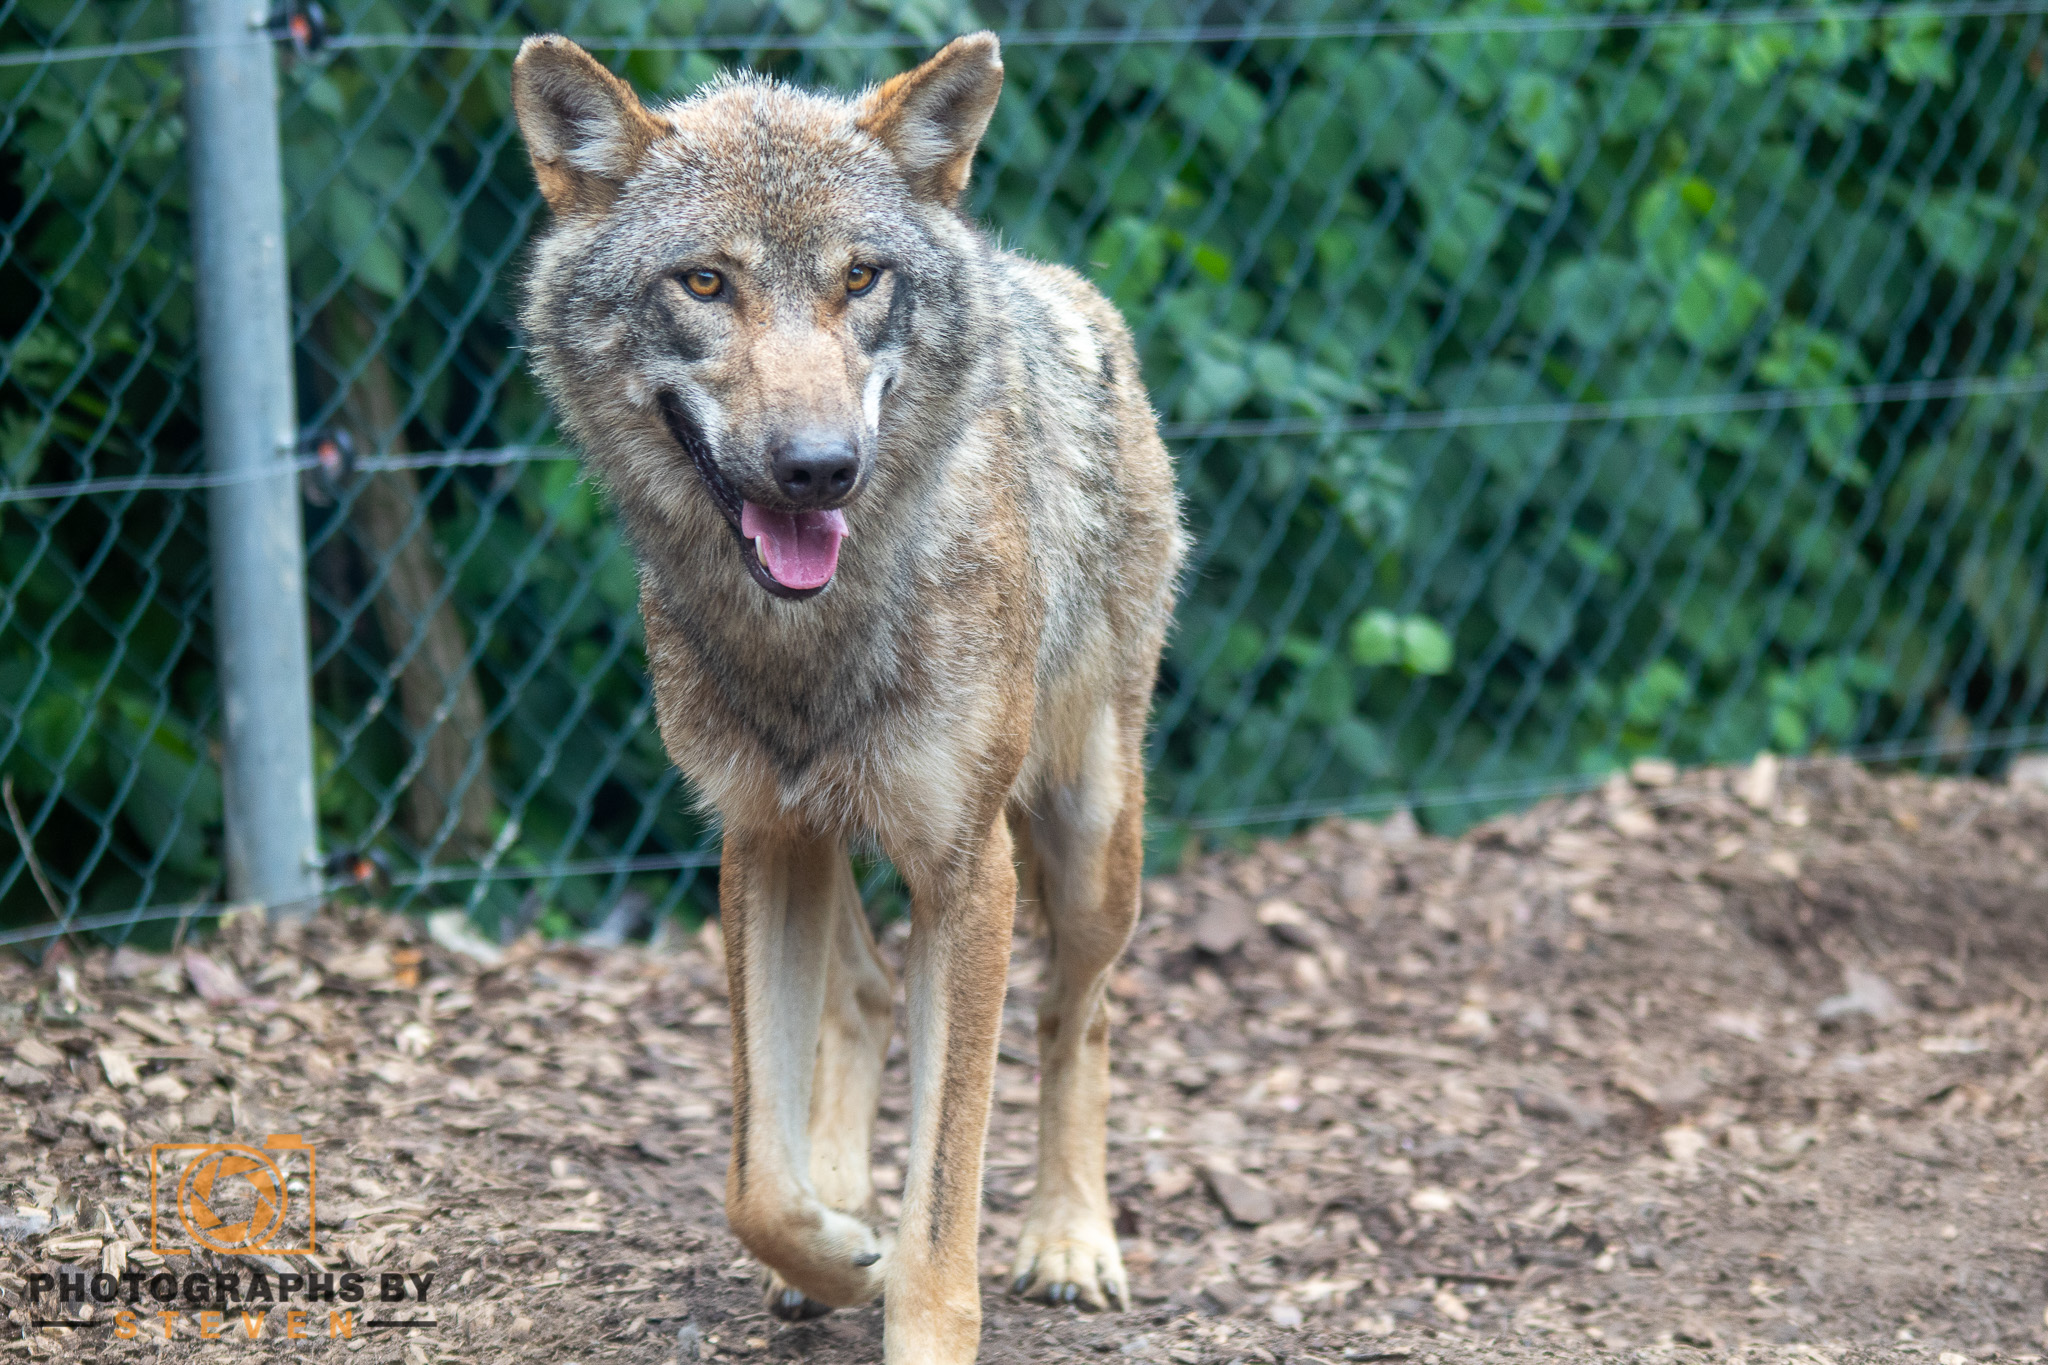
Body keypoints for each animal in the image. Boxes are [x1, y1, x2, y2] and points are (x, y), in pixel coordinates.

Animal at [512, 31, 1184, 1363]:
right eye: (705, 283)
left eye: (861, 278)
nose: (820, 468)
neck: (809, 639)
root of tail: (1060, 293)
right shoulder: (756, 834)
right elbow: (752, 1180)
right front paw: (832, 1244)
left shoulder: (969, 871)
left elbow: (944, 1194)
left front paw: (914, 1302)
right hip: (827, 841)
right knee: (863, 997)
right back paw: (844, 1212)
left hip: (1087, 842)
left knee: (1074, 1018)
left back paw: (1069, 1242)